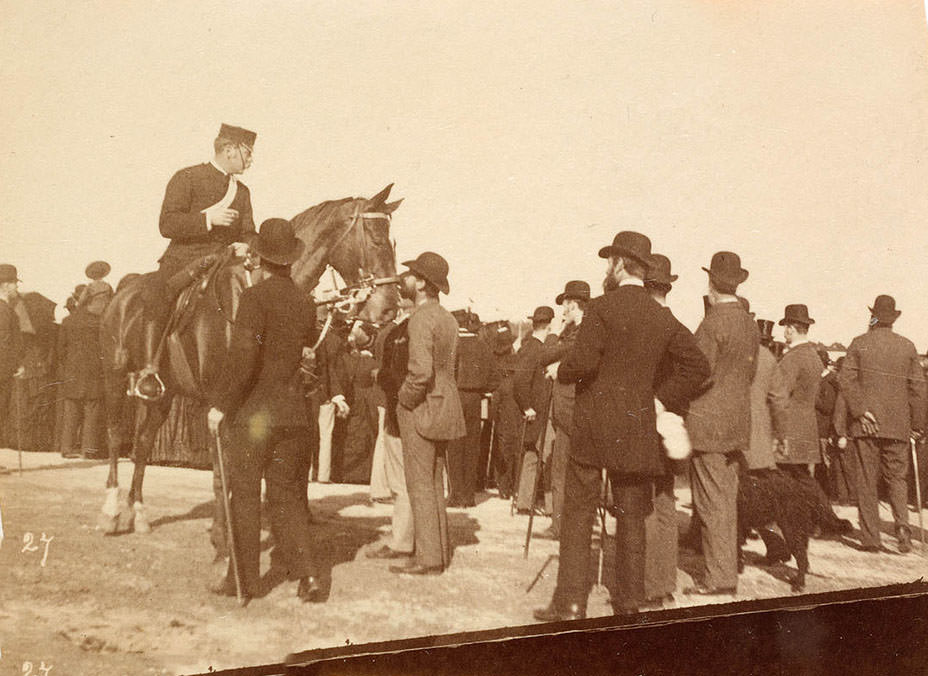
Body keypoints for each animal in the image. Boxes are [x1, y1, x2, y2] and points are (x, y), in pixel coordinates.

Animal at [99, 185, 402, 532]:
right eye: (376, 239)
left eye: (393, 242)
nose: (389, 309)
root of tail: (121, 295)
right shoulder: (221, 400)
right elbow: (226, 467)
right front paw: (226, 525)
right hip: (114, 379)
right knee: (115, 435)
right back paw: (111, 510)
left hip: (164, 396)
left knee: (144, 442)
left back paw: (139, 513)